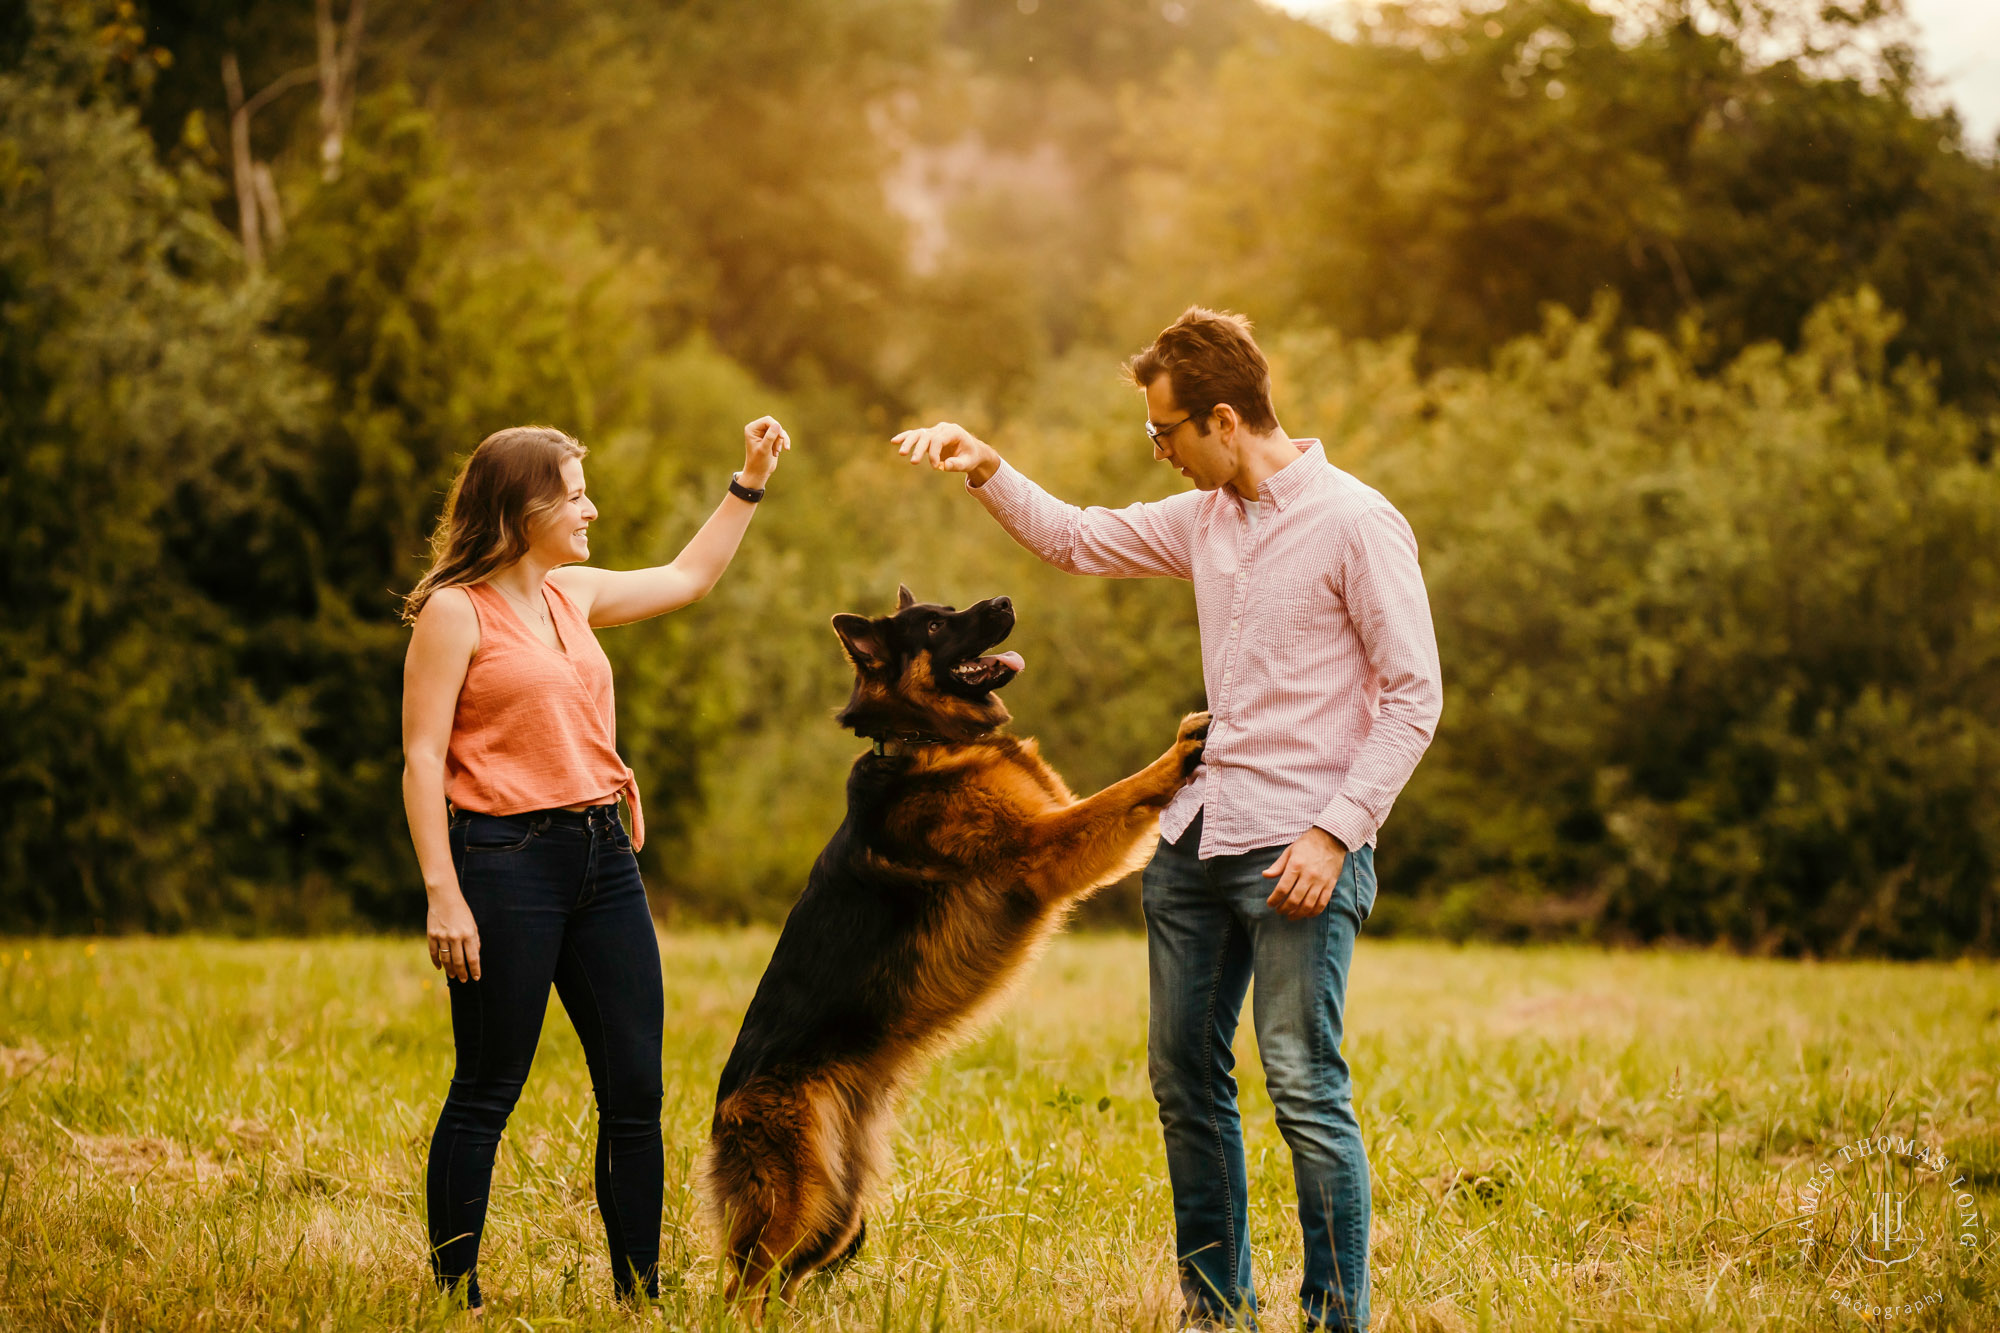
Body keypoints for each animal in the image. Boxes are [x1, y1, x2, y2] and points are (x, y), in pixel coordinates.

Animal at [704, 580, 1200, 1296]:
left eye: (951, 607)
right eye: (936, 626)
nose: (1004, 599)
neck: (920, 737)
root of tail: (722, 1112)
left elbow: (1122, 805)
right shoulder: (1045, 849)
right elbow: (1123, 791)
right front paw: (1181, 752)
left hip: (836, 1212)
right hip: (797, 1203)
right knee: (743, 1289)